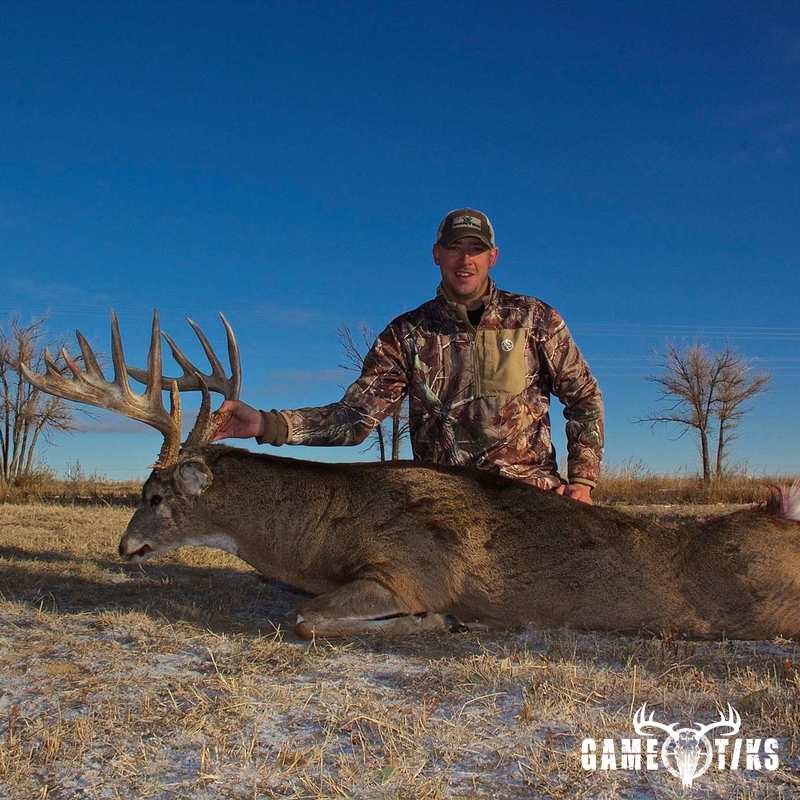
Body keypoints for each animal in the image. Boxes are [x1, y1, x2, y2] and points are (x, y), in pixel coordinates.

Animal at [20, 312, 800, 641]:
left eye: (154, 495)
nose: (123, 546)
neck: (319, 534)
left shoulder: (408, 569)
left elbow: (310, 619)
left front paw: (439, 622)